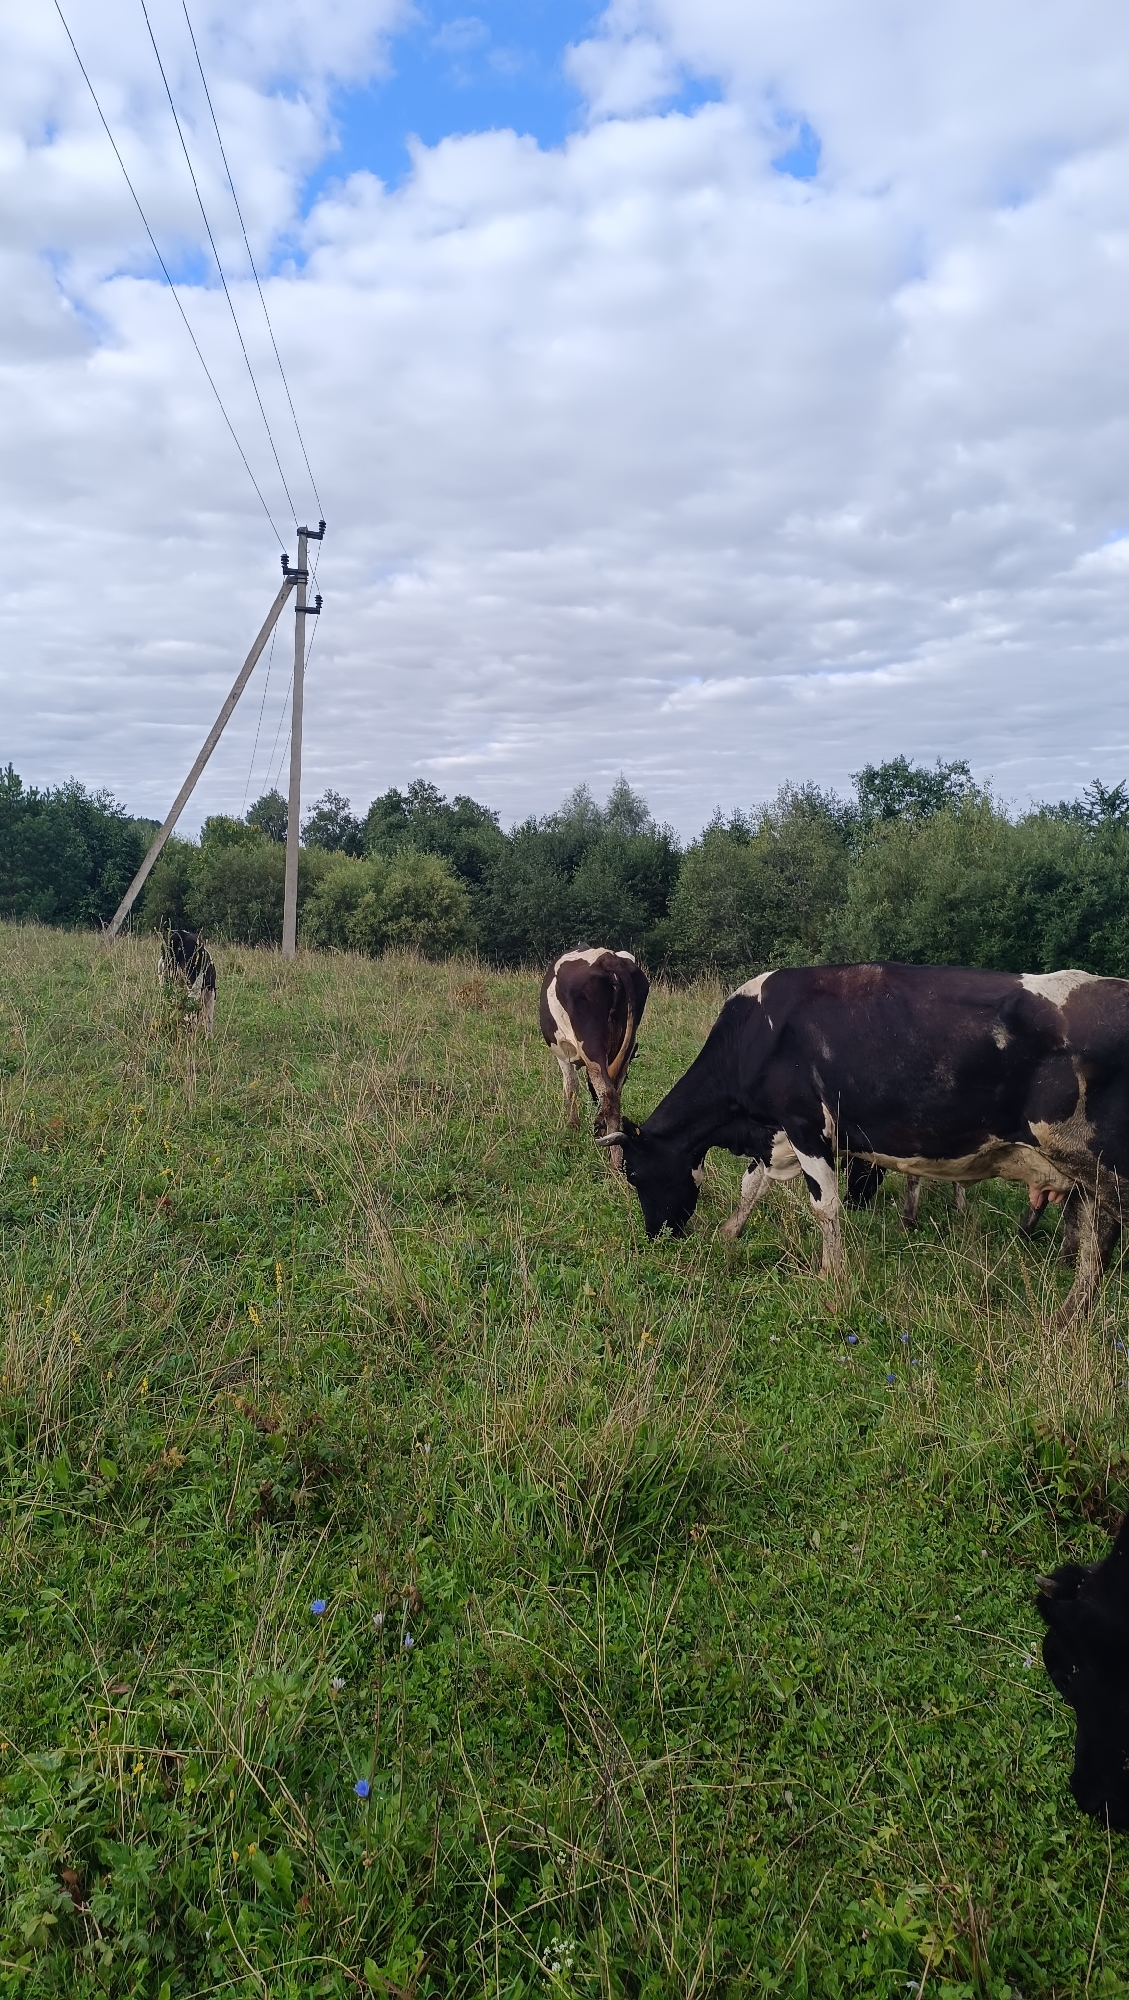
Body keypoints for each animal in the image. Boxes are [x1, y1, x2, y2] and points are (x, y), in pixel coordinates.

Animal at [540, 946, 650, 1161]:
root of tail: (608, 958)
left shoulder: (563, 1055)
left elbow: (571, 1087)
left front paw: (573, 1127)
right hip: (627, 1044)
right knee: (614, 1091)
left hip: (591, 1045)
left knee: (608, 1093)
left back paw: (615, 1159)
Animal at [604, 963, 1128, 1322]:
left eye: (635, 1173)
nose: (657, 1234)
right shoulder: (775, 1134)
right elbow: (752, 1186)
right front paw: (728, 1233)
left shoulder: (805, 1125)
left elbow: (825, 1206)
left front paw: (830, 1274)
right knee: (1091, 1242)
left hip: (1104, 1163)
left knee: (1100, 1243)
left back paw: (1069, 1315)